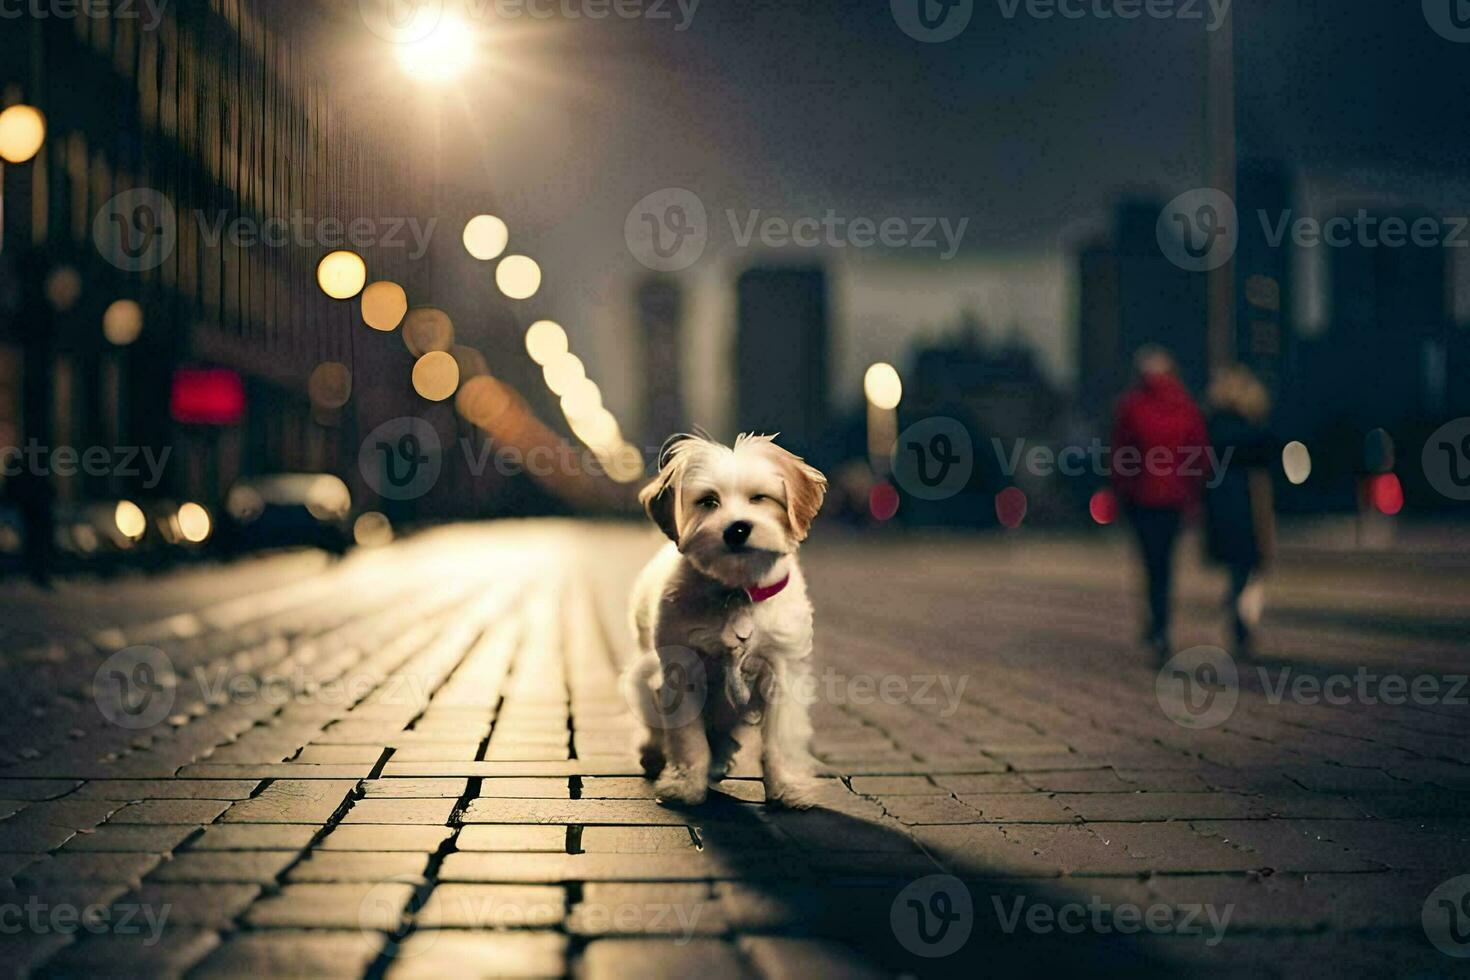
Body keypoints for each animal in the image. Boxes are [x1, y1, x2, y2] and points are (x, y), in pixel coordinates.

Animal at [620, 431, 829, 811]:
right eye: (708, 501)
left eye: (760, 498)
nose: (738, 528)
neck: (738, 592)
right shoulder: (682, 672)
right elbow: (689, 740)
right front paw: (685, 783)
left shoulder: (783, 671)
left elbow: (780, 740)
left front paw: (787, 786)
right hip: (643, 678)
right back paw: (655, 752)